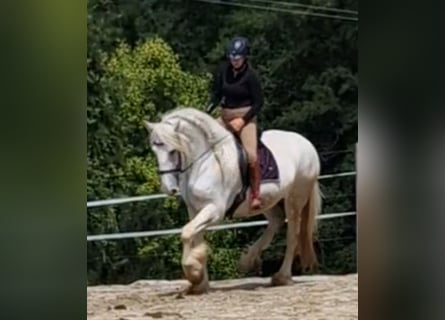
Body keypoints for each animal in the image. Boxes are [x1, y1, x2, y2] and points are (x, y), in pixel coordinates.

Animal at [144, 107, 320, 296]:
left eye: (172, 150)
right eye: (154, 151)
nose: (168, 188)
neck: (204, 163)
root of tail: (307, 143)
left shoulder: (215, 210)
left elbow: (186, 232)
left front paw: (194, 272)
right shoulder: (195, 210)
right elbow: (195, 237)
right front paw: (200, 283)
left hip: (295, 198)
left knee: (292, 234)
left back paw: (282, 277)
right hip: (268, 200)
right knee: (276, 221)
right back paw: (248, 260)